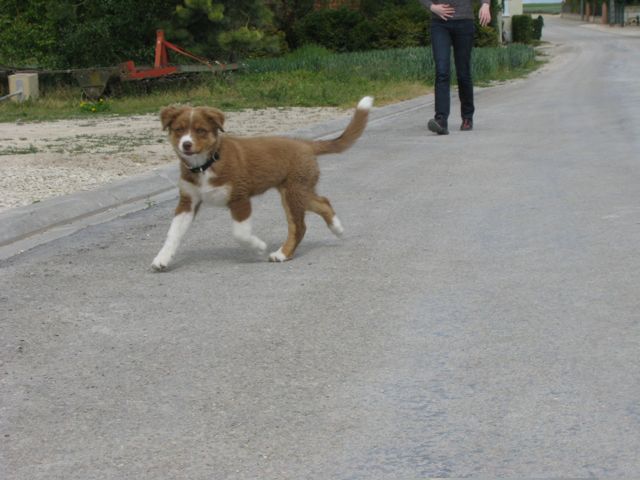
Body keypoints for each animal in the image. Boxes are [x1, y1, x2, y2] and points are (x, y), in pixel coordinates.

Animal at [151, 96, 372, 270]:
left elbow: (240, 233)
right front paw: (162, 259)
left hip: (293, 192)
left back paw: (282, 254)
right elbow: (173, 233)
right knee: (323, 202)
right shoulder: (187, 201)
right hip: (298, 190)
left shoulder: (239, 198)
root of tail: (306, 144)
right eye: (179, 130)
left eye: (201, 131)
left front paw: (258, 247)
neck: (206, 164)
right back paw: (337, 228)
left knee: (299, 226)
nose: (186, 145)